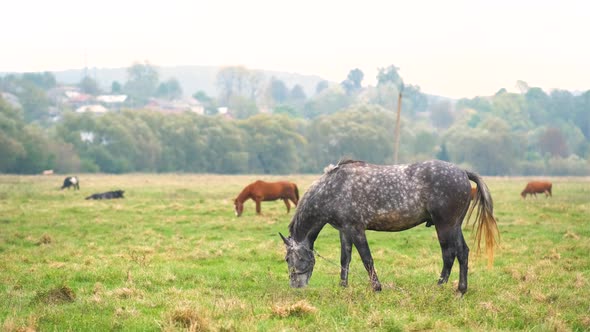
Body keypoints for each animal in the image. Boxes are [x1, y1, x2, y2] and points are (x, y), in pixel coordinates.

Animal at [282, 160, 500, 294]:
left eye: (289, 259)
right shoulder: (344, 231)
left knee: (449, 254)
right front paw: (343, 286)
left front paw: (376, 287)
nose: (295, 286)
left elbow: (367, 259)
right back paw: (461, 290)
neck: (333, 188)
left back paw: (440, 287)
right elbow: (345, 259)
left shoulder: (356, 229)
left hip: (445, 226)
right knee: (462, 252)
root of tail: (463, 172)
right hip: (455, 226)